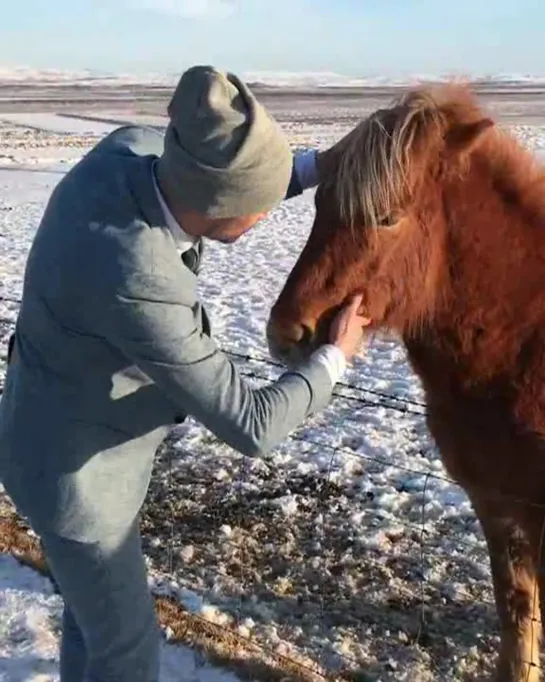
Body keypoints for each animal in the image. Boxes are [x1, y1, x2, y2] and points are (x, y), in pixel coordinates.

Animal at [268, 86, 545, 680]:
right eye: (319, 206)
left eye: (388, 217)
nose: (284, 333)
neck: (524, 338)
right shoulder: (494, 503)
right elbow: (516, 604)